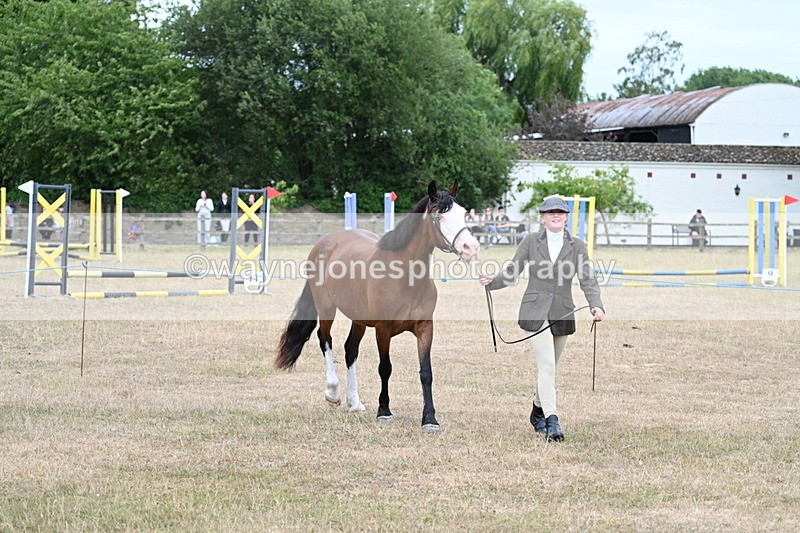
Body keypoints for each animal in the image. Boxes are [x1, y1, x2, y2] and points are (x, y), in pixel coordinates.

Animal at [275, 180, 480, 432]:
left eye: (462, 214)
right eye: (438, 217)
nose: (471, 247)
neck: (405, 277)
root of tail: (325, 243)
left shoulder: (425, 328)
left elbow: (426, 372)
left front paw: (430, 419)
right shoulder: (383, 329)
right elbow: (385, 367)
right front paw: (384, 411)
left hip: (358, 319)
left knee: (350, 349)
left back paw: (354, 402)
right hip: (326, 308)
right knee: (325, 339)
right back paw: (333, 393)